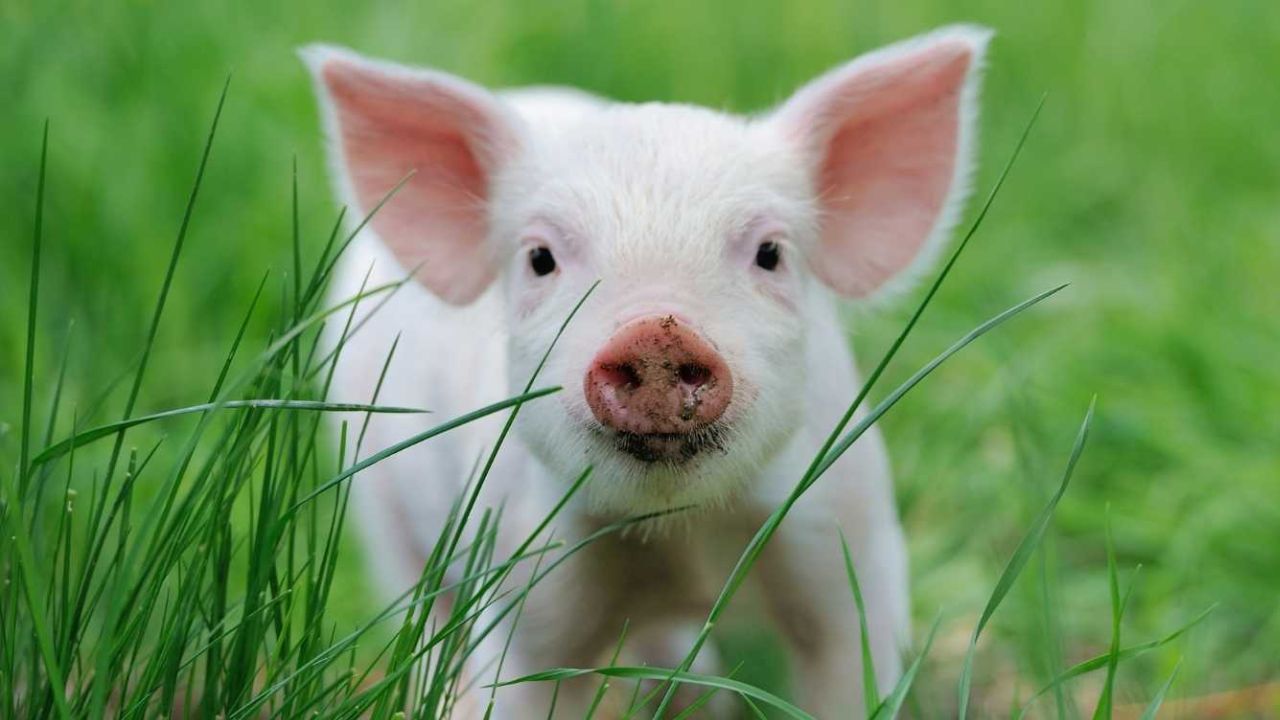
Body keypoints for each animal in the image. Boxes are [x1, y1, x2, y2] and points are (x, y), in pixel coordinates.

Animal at [304, 24, 989, 719]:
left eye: (770, 253)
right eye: (540, 258)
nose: (657, 333)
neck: (677, 535)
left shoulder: (854, 548)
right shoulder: (520, 580)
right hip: (383, 511)